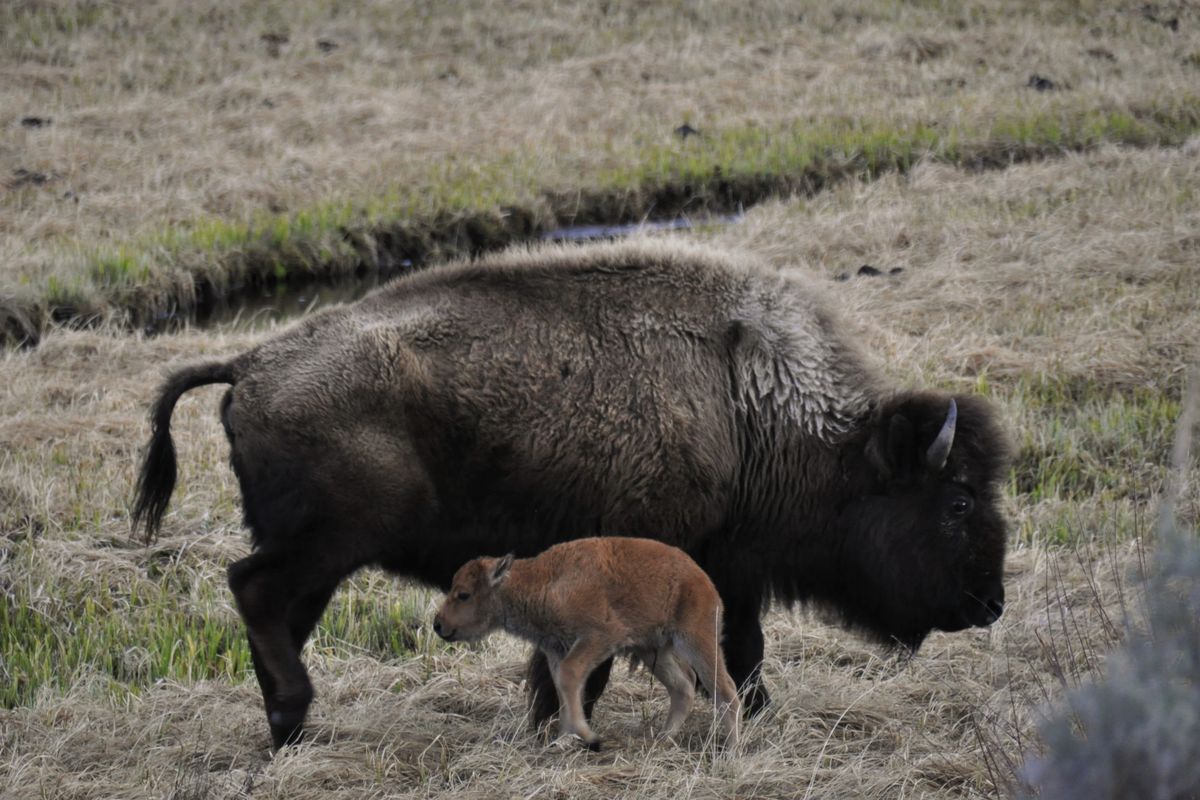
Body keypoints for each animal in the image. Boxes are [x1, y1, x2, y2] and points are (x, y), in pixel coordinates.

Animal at [433, 537, 741, 749]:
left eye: (463, 594)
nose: (438, 624)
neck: (544, 580)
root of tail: (702, 579)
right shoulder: (557, 650)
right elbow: (563, 687)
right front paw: (563, 739)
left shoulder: (599, 637)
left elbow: (570, 677)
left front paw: (586, 735)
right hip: (653, 651)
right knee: (683, 687)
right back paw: (663, 739)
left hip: (697, 640)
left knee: (725, 688)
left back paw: (731, 749)